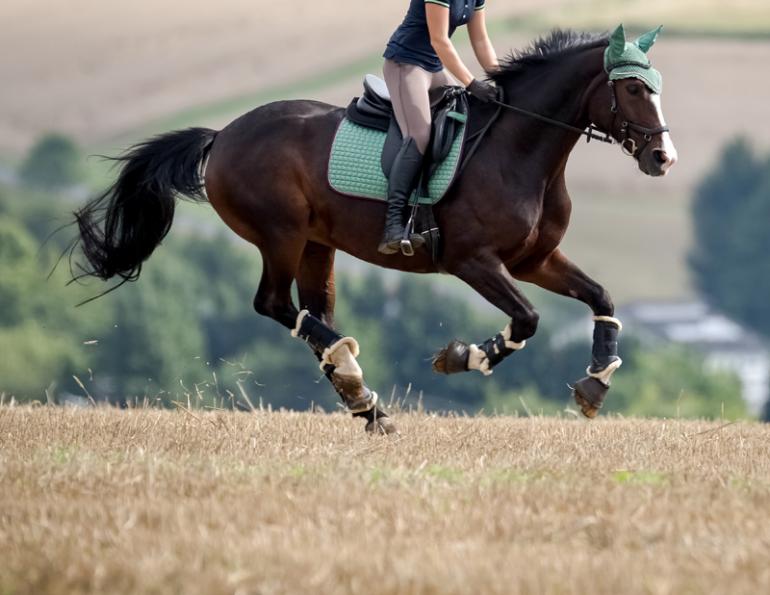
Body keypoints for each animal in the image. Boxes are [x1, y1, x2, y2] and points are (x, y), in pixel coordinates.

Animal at [73, 28, 677, 434]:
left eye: (655, 87)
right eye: (631, 90)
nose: (663, 158)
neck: (524, 150)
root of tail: (223, 134)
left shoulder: (536, 259)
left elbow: (601, 297)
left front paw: (595, 383)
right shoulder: (472, 261)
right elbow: (526, 319)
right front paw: (465, 357)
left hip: (318, 244)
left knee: (313, 313)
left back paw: (361, 397)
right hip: (281, 235)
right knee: (275, 304)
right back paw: (357, 384)